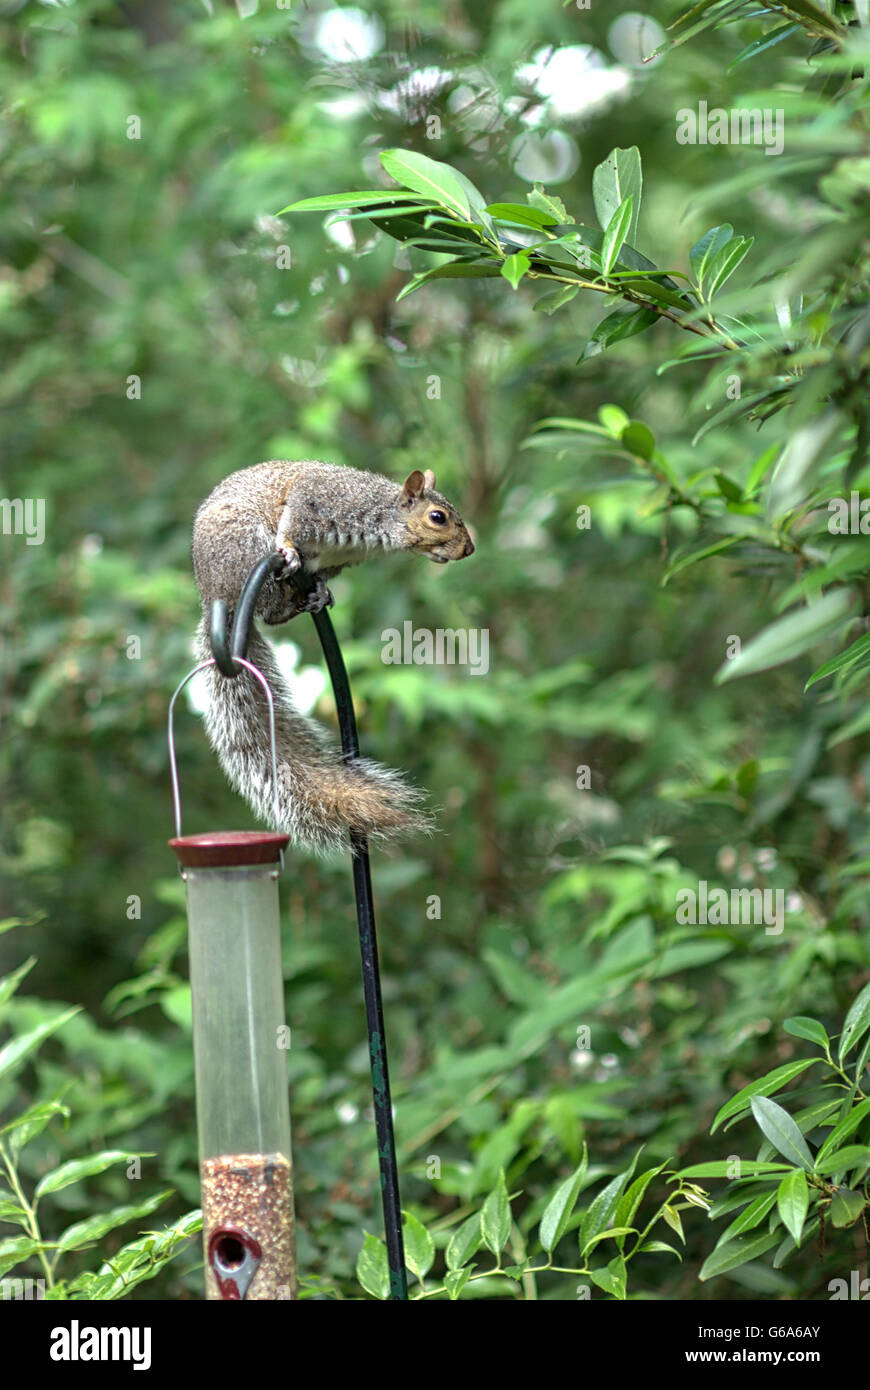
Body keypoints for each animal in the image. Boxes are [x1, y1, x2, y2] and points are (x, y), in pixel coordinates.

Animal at [192, 459, 474, 854]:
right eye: (438, 517)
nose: (469, 549)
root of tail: (216, 598)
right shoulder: (319, 498)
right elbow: (293, 521)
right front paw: (288, 549)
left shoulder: (335, 562)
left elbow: (323, 575)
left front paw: (322, 592)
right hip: (243, 544)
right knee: (268, 609)